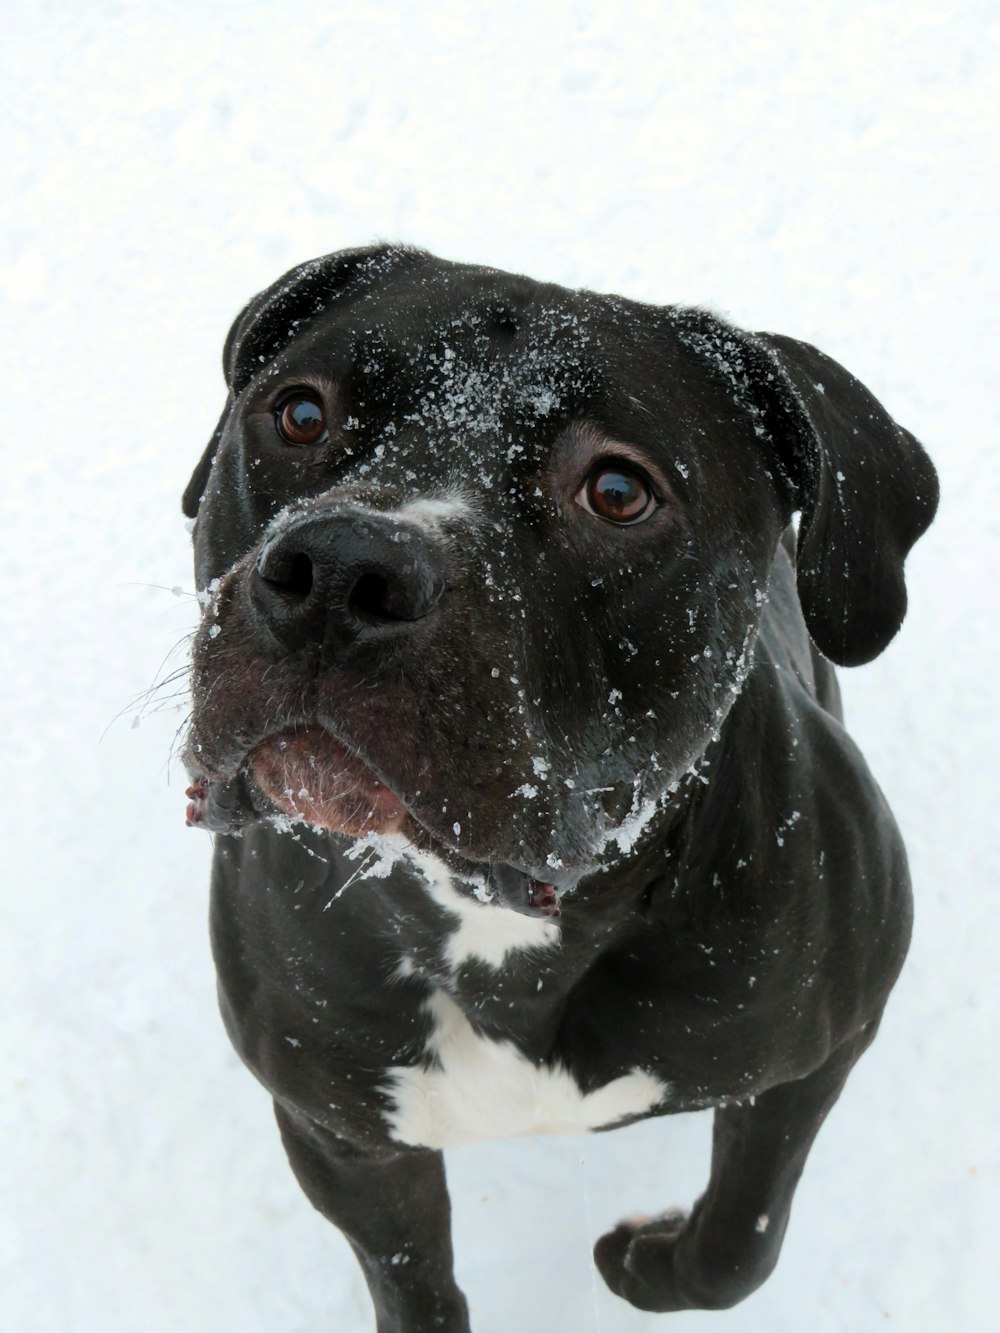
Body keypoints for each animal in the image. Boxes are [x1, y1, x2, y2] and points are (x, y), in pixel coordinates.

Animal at [180, 245, 938, 1327]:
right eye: (300, 413)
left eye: (618, 489)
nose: (341, 567)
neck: (506, 931)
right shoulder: (341, 1134)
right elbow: (413, 1284)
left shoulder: (815, 1057)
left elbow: (737, 1245)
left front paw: (648, 1261)